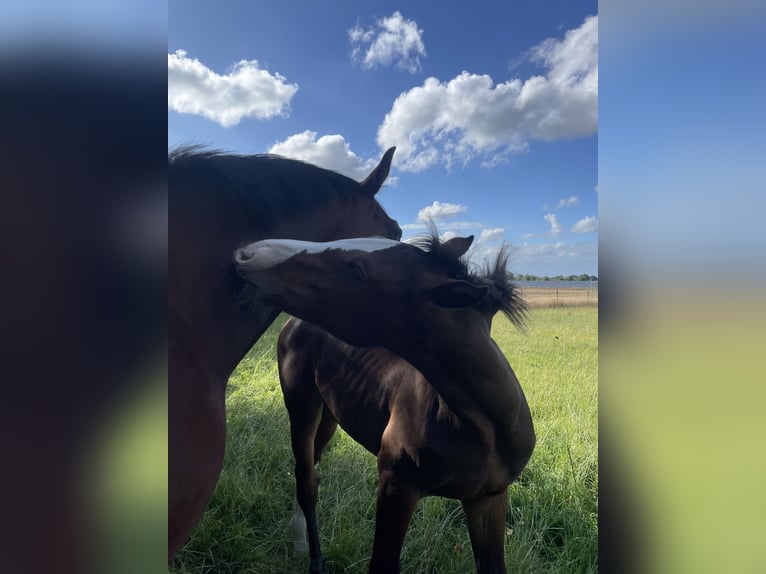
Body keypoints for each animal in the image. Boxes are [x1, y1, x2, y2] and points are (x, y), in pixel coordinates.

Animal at [234, 233, 535, 574]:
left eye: (356, 269)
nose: (248, 254)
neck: (483, 427)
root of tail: (294, 323)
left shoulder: (488, 498)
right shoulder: (396, 487)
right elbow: (382, 563)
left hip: (330, 416)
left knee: (313, 470)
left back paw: (299, 543)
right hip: (301, 406)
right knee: (306, 481)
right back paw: (314, 560)